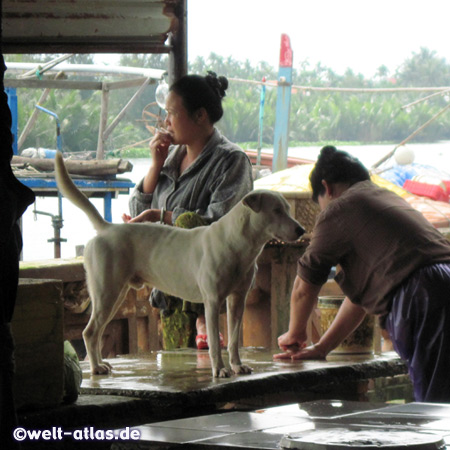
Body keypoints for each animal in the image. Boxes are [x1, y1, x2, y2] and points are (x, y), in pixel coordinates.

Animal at [54, 153, 304, 378]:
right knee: (90, 331)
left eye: (287, 209)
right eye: (276, 211)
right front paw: (220, 369)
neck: (240, 243)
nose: (301, 230)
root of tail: (107, 228)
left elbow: (233, 340)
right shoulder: (213, 301)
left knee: (97, 331)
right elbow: (215, 343)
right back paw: (96, 368)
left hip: (115, 295)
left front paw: (237, 366)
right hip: (107, 291)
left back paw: (100, 363)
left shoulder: (237, 300)